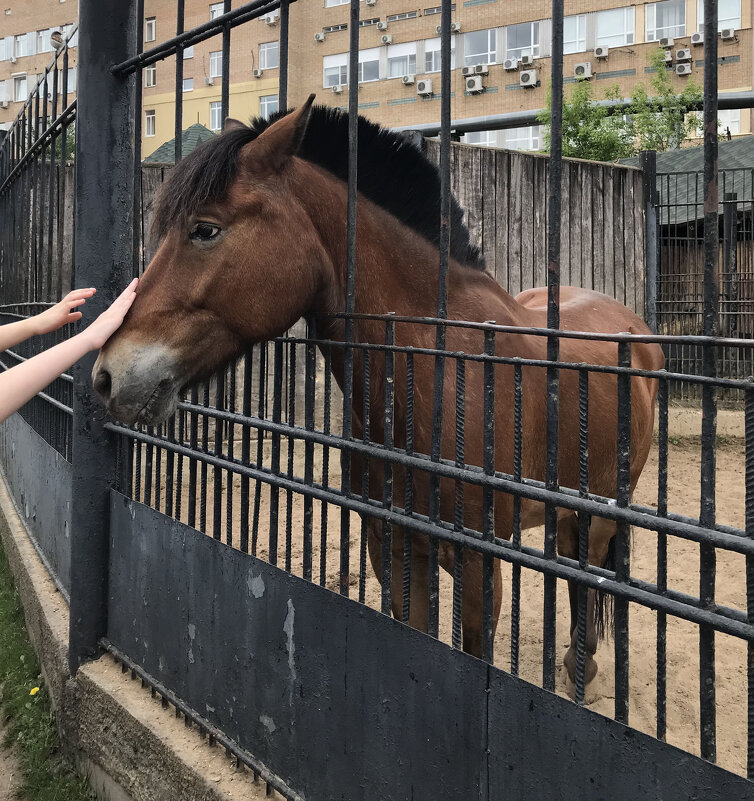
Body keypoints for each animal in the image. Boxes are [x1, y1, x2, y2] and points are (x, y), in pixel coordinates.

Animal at [91, 94, 660, 680]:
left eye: (205, 229)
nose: (108, 374)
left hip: (601, 513)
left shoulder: (479, 566)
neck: (433, 383)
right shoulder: (393, 551)